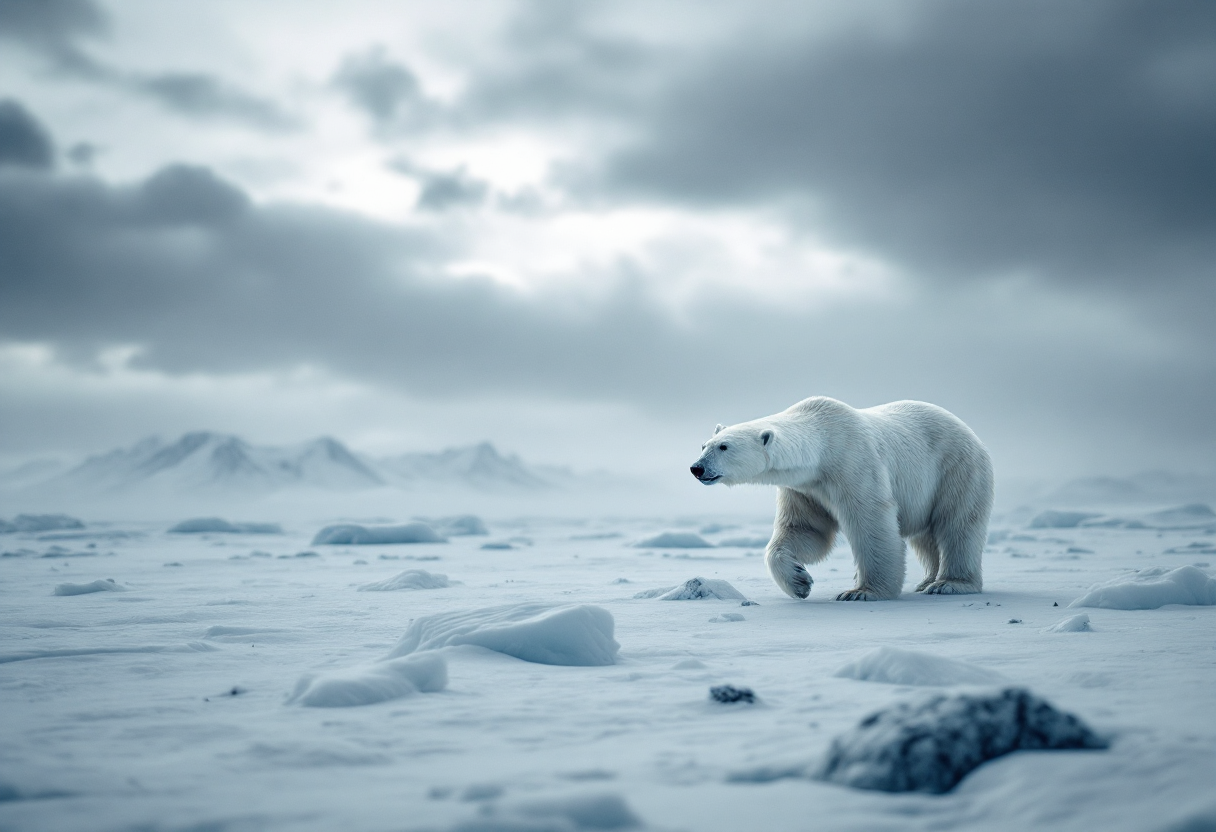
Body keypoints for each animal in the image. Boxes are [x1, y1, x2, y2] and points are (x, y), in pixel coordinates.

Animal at [690, 398, 992, 600]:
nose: (697, 468)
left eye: (724, 446)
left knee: (957, 525)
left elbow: (872, 524)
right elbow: (806, 530)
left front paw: (862, 592)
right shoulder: (804, 488)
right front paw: (799, 581)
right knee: (926, 536)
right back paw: (927, 580)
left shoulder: (854, 464)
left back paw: (949, 584)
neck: (823, 444)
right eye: (704, 445)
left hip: (956, 469)